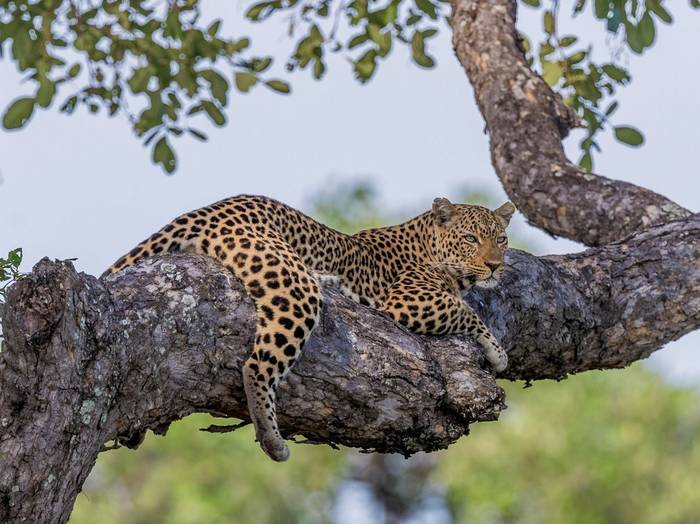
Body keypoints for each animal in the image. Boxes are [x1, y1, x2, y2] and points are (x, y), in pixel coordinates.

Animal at [105, 194, 515, 462]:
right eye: (470, 239)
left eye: (501, 239)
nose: (495, 265)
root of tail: (209, 209)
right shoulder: (406, 301)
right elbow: (466, 311)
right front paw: (497, 351)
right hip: (293, 286)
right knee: (256, 365)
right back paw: (273, 441)